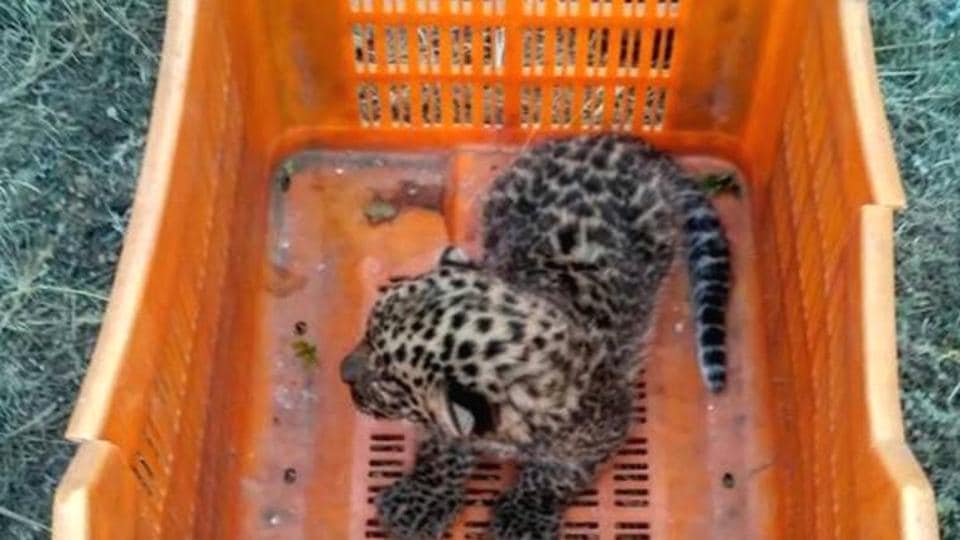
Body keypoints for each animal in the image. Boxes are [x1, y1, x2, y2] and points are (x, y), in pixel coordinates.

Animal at [339, 133, 731, 540]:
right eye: (367, 333)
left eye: (388, 382)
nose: (342, 371)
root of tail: (625, 142)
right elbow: (442, 449)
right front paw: (423, 498)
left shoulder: (610, 427)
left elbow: (557, 475)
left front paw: (524, 515)